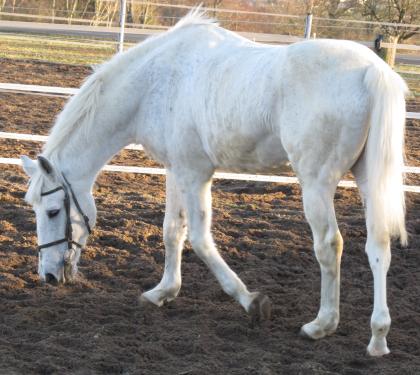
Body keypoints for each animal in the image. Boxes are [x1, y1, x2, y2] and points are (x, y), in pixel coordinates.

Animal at [20, 10, 406, 358]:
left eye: (52, 211)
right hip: (368, 180)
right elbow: (171, 231)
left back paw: (322, 324)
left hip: (316, 185)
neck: (154, 83)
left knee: (329, 245)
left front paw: (251, 302)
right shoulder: (176, 170)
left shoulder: (195, 173)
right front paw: (163, 292)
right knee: (378, 246)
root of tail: (372, 70)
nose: (48, 275)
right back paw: (378, 337)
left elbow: (200, 240)